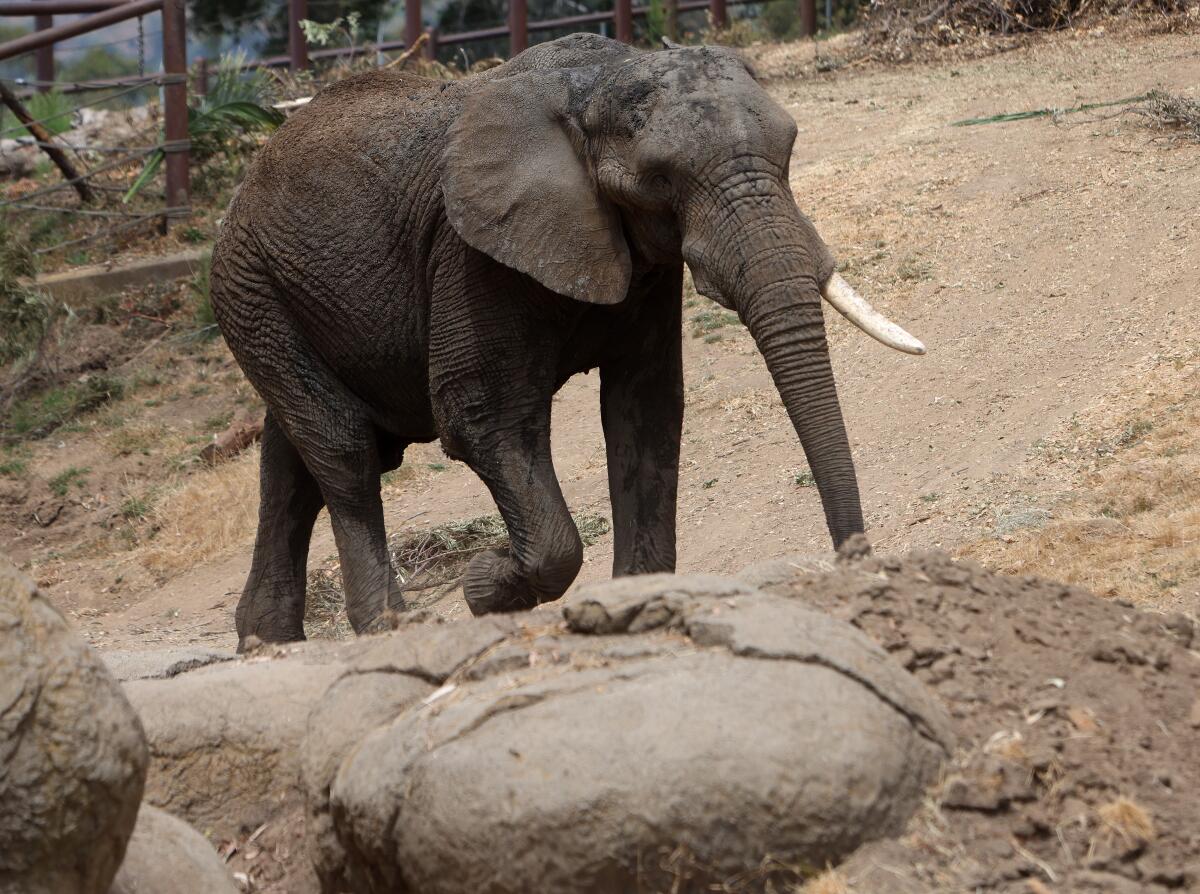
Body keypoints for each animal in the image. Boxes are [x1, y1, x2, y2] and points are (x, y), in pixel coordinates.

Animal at [210, 32, 924, 647]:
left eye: (791, 148)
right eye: (662, 179)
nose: (856, 569)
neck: (600, 83)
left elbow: (645, 408)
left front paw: (633, 608)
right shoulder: (472, 257)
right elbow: (482, 419)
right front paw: (483, 585)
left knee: (291, 462)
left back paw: (265, 641)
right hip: (249, 287)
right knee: (346, 451)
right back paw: (390, 626)